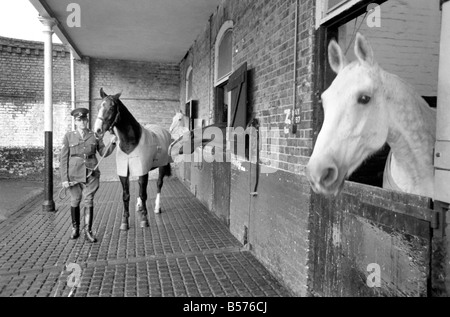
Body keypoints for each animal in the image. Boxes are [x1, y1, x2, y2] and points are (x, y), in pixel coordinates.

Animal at [93, 88, 172, 230]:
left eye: (112, 107)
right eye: (98, 106)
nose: (97, 130)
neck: (131, 142)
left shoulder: (143, 170)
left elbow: (143, 194)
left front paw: (145, 220)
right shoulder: (125, 172)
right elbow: (126, 195)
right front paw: (125, 221)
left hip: (162, 166)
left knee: (158, 184)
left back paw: (157, 208)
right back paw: (139, 206)